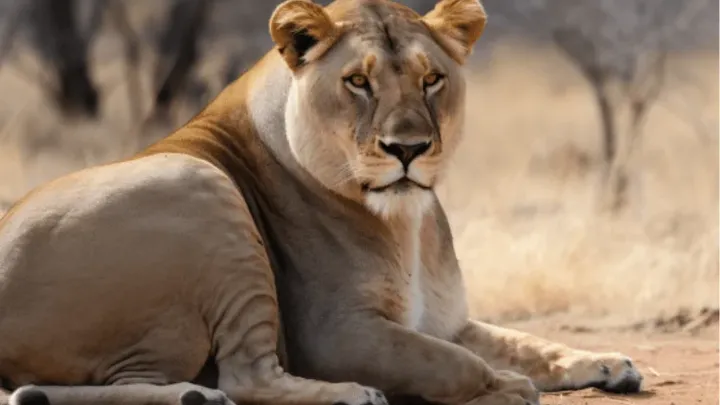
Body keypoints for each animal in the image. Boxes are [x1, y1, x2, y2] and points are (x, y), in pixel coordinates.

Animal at [0, 0, 644, 404]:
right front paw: (504, 386)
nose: (407, 149)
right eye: (358, 82)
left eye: (431, 79)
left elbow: (527, 342)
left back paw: (188, 394)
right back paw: (346, 395)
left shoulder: (442, 321)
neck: (409, 224)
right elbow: (453, 362)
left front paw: (609, 363)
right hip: (196, 184)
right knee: (245, 377)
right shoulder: (334, 335)